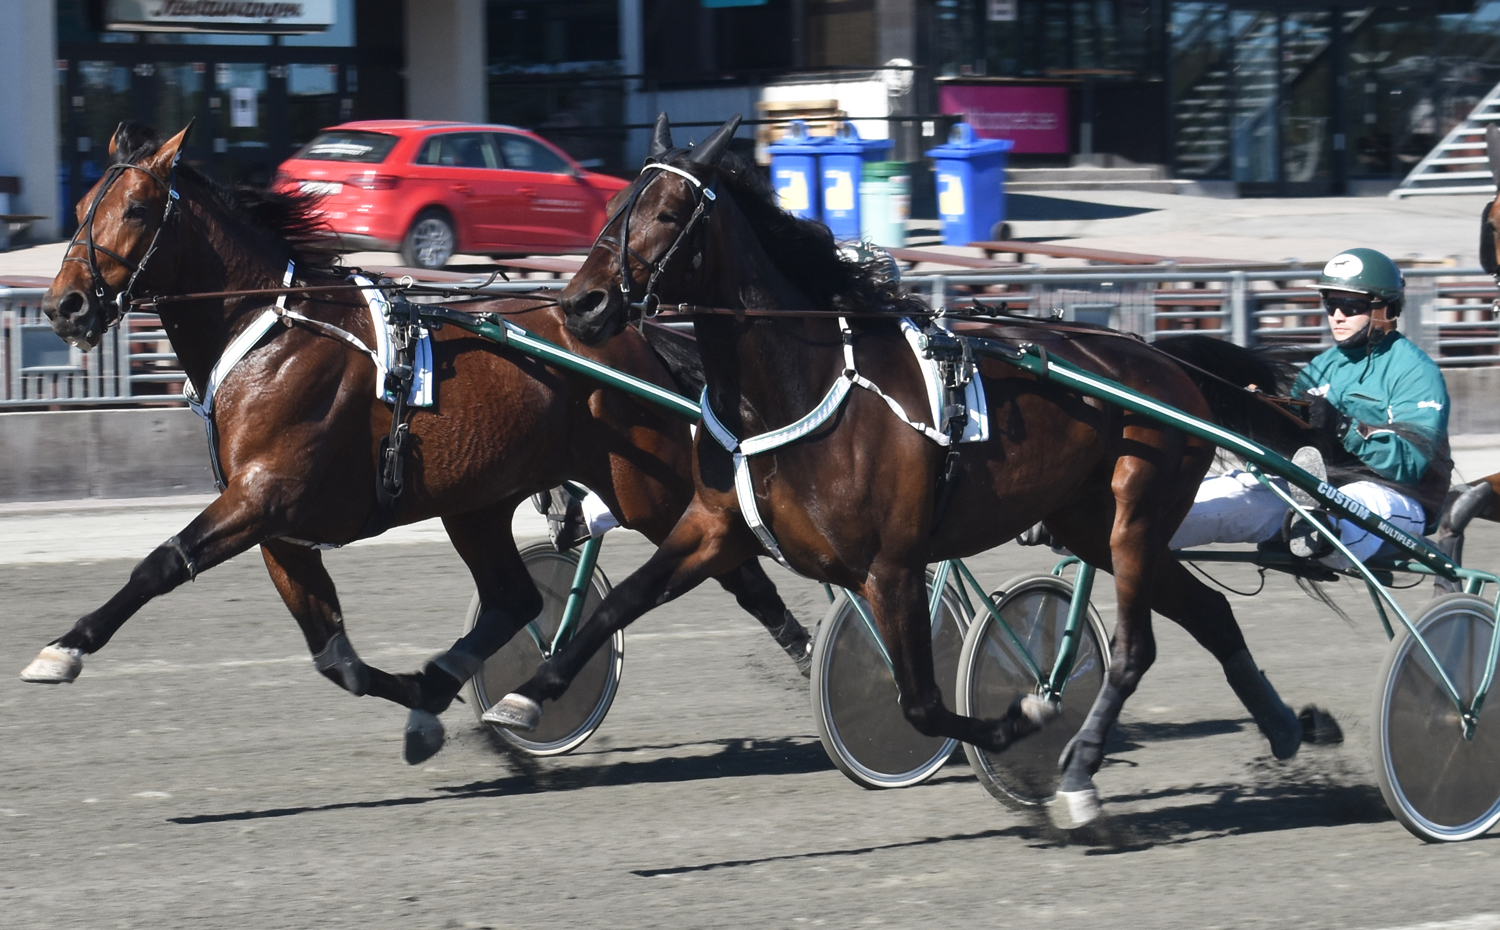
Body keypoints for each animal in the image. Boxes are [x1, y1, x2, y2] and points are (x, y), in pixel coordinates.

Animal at [20, 121, 810, 762]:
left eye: (136, 208)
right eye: (84, 206)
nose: (64, 305)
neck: (269, 335)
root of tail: (634, 333)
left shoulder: (262, 497)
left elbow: (160, 563)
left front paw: (62, 649)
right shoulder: (279, 530)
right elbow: (335, 659)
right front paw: (426, 704)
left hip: (644, 483)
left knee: (733, 566)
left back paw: (808, 657)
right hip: (477, 502)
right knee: (515, 599)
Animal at [486, 116, 1320, 828]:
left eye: (664, 213)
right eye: (611, 205)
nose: (583, 304)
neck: (799, 385)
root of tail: (1167, 360)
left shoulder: (890, 565)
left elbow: (919, 700)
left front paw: (1020, 717)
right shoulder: (713, 527)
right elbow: (618, 603)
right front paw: (525, 697)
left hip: (1136, 514)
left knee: (1136, 648)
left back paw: (1081, 775)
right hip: (1089, 524)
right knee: (1211, 613)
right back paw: (1288, 727)